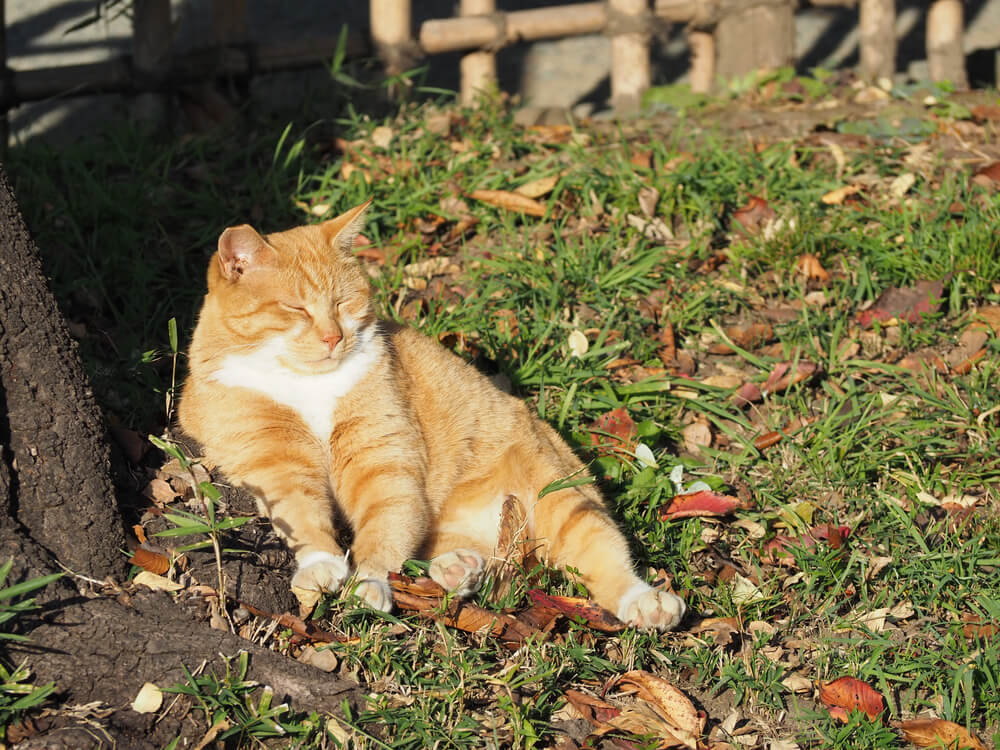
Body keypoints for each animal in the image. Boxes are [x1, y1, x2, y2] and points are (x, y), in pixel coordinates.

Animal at [176, 200, 684, 628]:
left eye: (343, 302)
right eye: (295, 308)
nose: (333, 337)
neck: (306, 383)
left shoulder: (382, 461)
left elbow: (385, 526)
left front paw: (368, 584)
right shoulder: (273, 460)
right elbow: (300, 517)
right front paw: (321, 565)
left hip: (562, 501)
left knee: (604, 556)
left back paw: (646, 602)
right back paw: (459, 567)